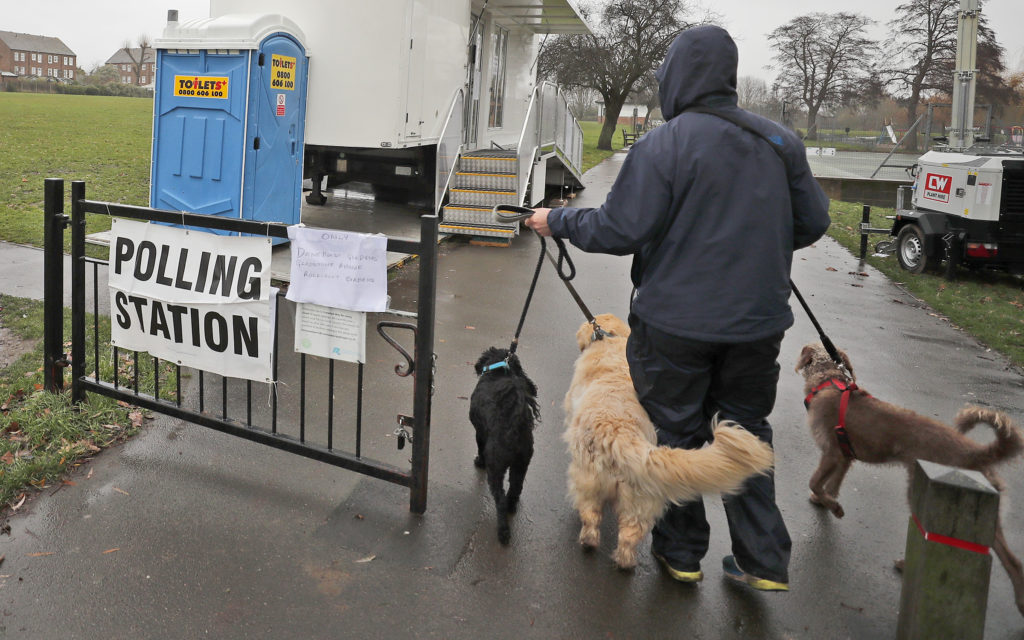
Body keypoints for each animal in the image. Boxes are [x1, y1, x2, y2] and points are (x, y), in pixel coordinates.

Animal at [468, 346, 540, 540]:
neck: (498, 372)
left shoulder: (479, 431)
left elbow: (479, 446)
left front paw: (479, 461)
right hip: (522, 463)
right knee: (515, 488)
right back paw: (511, 506)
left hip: (496, 466)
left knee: (499, 498)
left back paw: (503, 532)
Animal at [565, 315, 770, 569]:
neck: (608, 341)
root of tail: (622, 437)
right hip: (639, 501)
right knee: (630, 534)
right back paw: (626, 561)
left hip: (587, 480)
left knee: (591, 515)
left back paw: (589, 540)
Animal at [798, 342, 1024, 618]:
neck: (828, 381)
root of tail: (976, 451)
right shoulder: (844, 458)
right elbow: (831, 486)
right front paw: (827, 502)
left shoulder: (831, 453)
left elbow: (815, 482)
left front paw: (832, 506)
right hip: (987, 515)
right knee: (1013, 561)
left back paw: (908, 565)